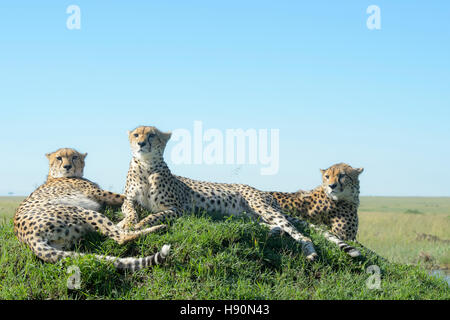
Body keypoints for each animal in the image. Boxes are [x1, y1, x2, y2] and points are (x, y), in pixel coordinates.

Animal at [14, 149, 170, 272]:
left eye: (74, 157)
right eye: (58, 158)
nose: (67, 166)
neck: (54, 175)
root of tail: (28, 238)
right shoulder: (101, 193)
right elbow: (126, 197)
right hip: (80, 211)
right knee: (121, 237)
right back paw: (157, 227)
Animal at [118, 126, 318, 262]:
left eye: (152, 134)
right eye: (136, 134)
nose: (141, 143)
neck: (146, 166)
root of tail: (262, 192)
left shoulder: (178, 209)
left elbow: (154, 216)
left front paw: (138, 224)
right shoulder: (129, 199)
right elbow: (130, 209)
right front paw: (126, 222)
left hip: (260, 205)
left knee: (299, 233)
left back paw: (311, 253)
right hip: (247, 215)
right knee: (273, 226)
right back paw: (273, 232)